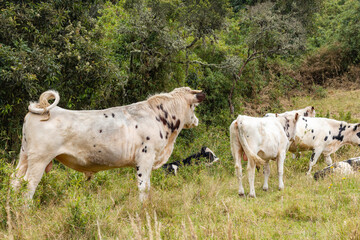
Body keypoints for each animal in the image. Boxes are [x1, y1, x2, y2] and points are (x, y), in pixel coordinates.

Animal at [10, 87, 205, 202]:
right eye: (194, 107)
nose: (196, 121)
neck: (158, 116)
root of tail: (41, 109)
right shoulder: (145, 157)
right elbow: (143, 187)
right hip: (39, 159)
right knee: (28, 185)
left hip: (24, 156)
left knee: (14, 181)